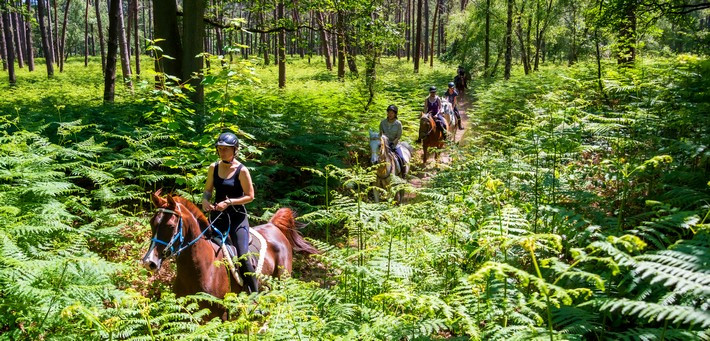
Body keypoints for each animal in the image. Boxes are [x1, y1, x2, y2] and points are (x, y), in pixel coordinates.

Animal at [143, 190, 320, 318]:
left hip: (281, 283)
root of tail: (273, 226)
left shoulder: (220, 314)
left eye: (171, 226)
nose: (149, 261)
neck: (202, 268)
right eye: (152, 223)